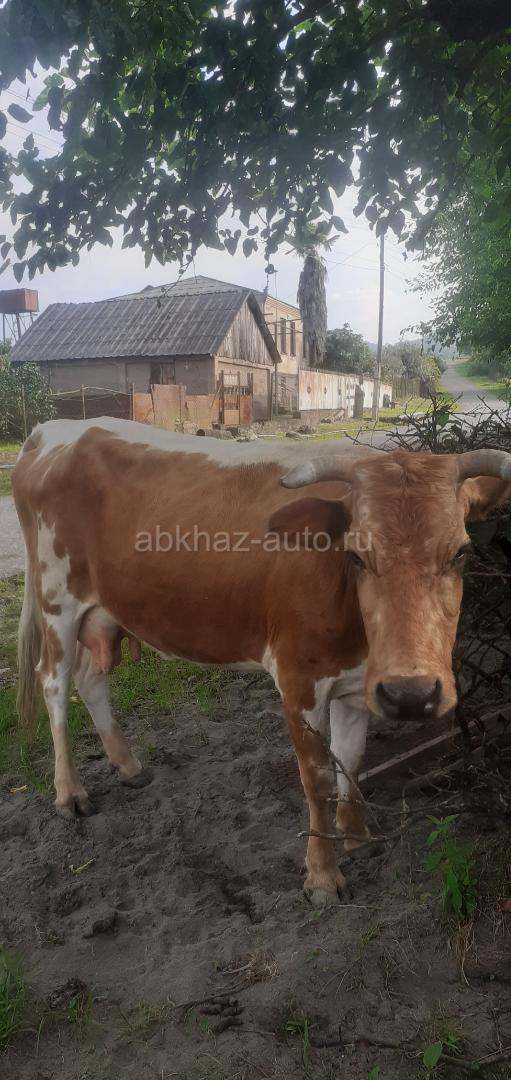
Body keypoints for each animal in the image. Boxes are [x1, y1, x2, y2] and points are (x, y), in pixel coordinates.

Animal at [12, 418, 511, 906]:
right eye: (355, 554)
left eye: (461, 551)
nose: (412, 695)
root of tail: (53, 430)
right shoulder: (299, 682)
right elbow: (318, 779)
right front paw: (322, 875)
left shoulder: (358, 683)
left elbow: (351, 760)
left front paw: (356, 836)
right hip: (56, 601)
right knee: (54, 684)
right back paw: (70, 792)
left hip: (103, 610)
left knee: (91, 680)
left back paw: (128, 766)